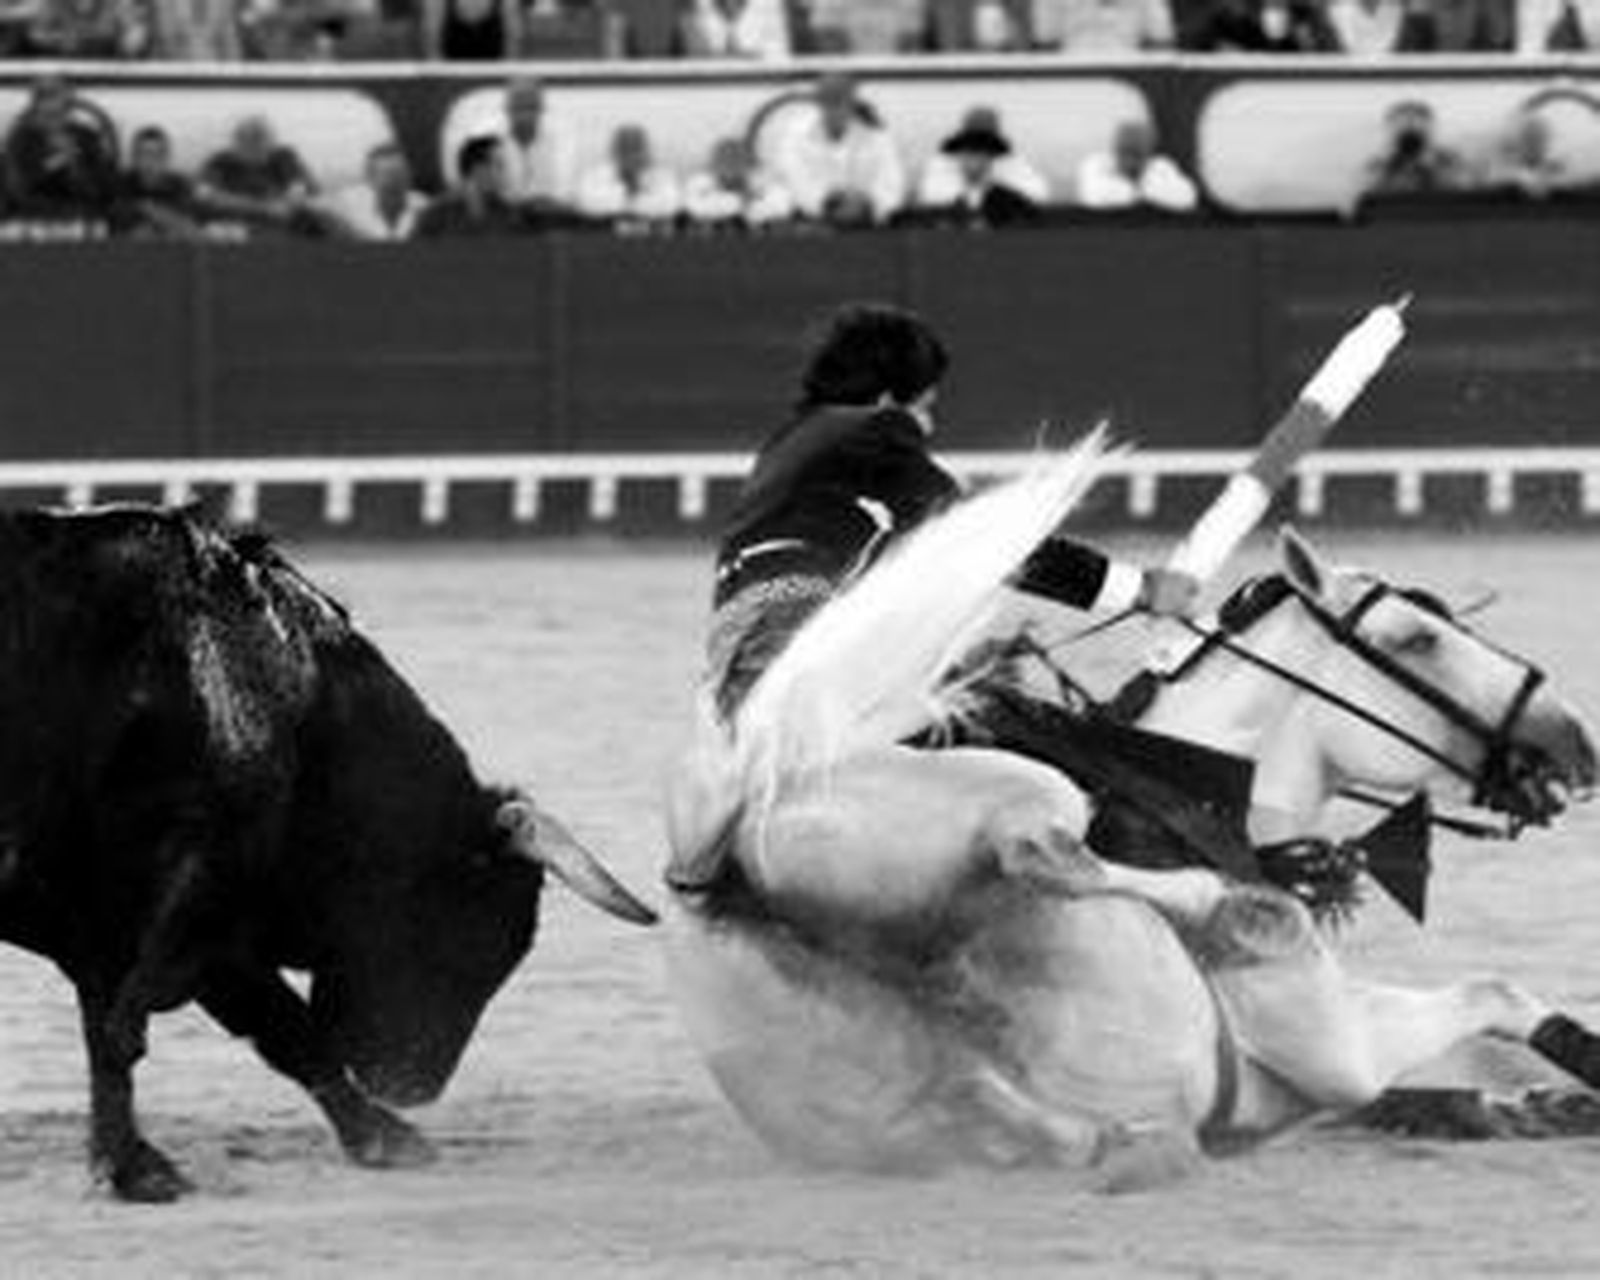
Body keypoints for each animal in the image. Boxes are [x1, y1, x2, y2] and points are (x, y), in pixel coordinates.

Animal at [663, 442, 1600, 1181]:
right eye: (1418, 638)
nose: (1574, 741)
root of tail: (721, 848)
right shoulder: (1339, 1048)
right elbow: (1493, 990)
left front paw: (1543, 1103)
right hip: (1028, 794)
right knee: (1045, 851)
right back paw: (1233, 907)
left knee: (1021, 1101)